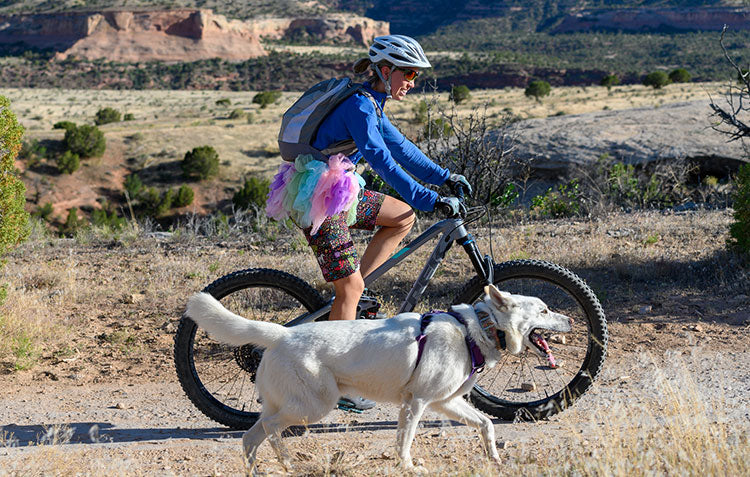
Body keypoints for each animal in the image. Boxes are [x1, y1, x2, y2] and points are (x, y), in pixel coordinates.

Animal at [185, 284, 572, 470]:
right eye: (544, 310)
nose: (570, 320)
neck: (476, 329)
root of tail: (281, 333)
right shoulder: (416, 403)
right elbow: (405, 441)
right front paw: (408, 466)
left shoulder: (446, 403)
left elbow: (487, 425)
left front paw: (493, 458)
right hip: (313, 407)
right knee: (266, 430)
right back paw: (285, 462)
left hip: (290, 407)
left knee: (252, 437)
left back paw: (270, 467)